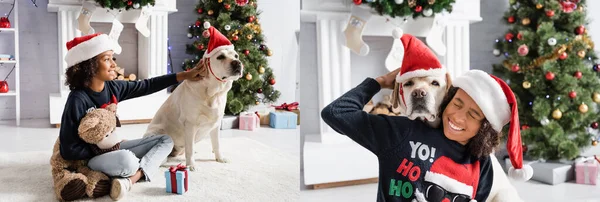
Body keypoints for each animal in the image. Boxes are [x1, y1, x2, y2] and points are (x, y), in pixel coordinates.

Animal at [144, 25, 243, 170]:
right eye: (220, 57)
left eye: (236, 55)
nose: (238, 63)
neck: (212, 93)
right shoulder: (190, 124)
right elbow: (189, 148)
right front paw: (191, 165)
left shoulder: (216, 124)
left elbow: (217, 144)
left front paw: (220, 158)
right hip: (158, 132)